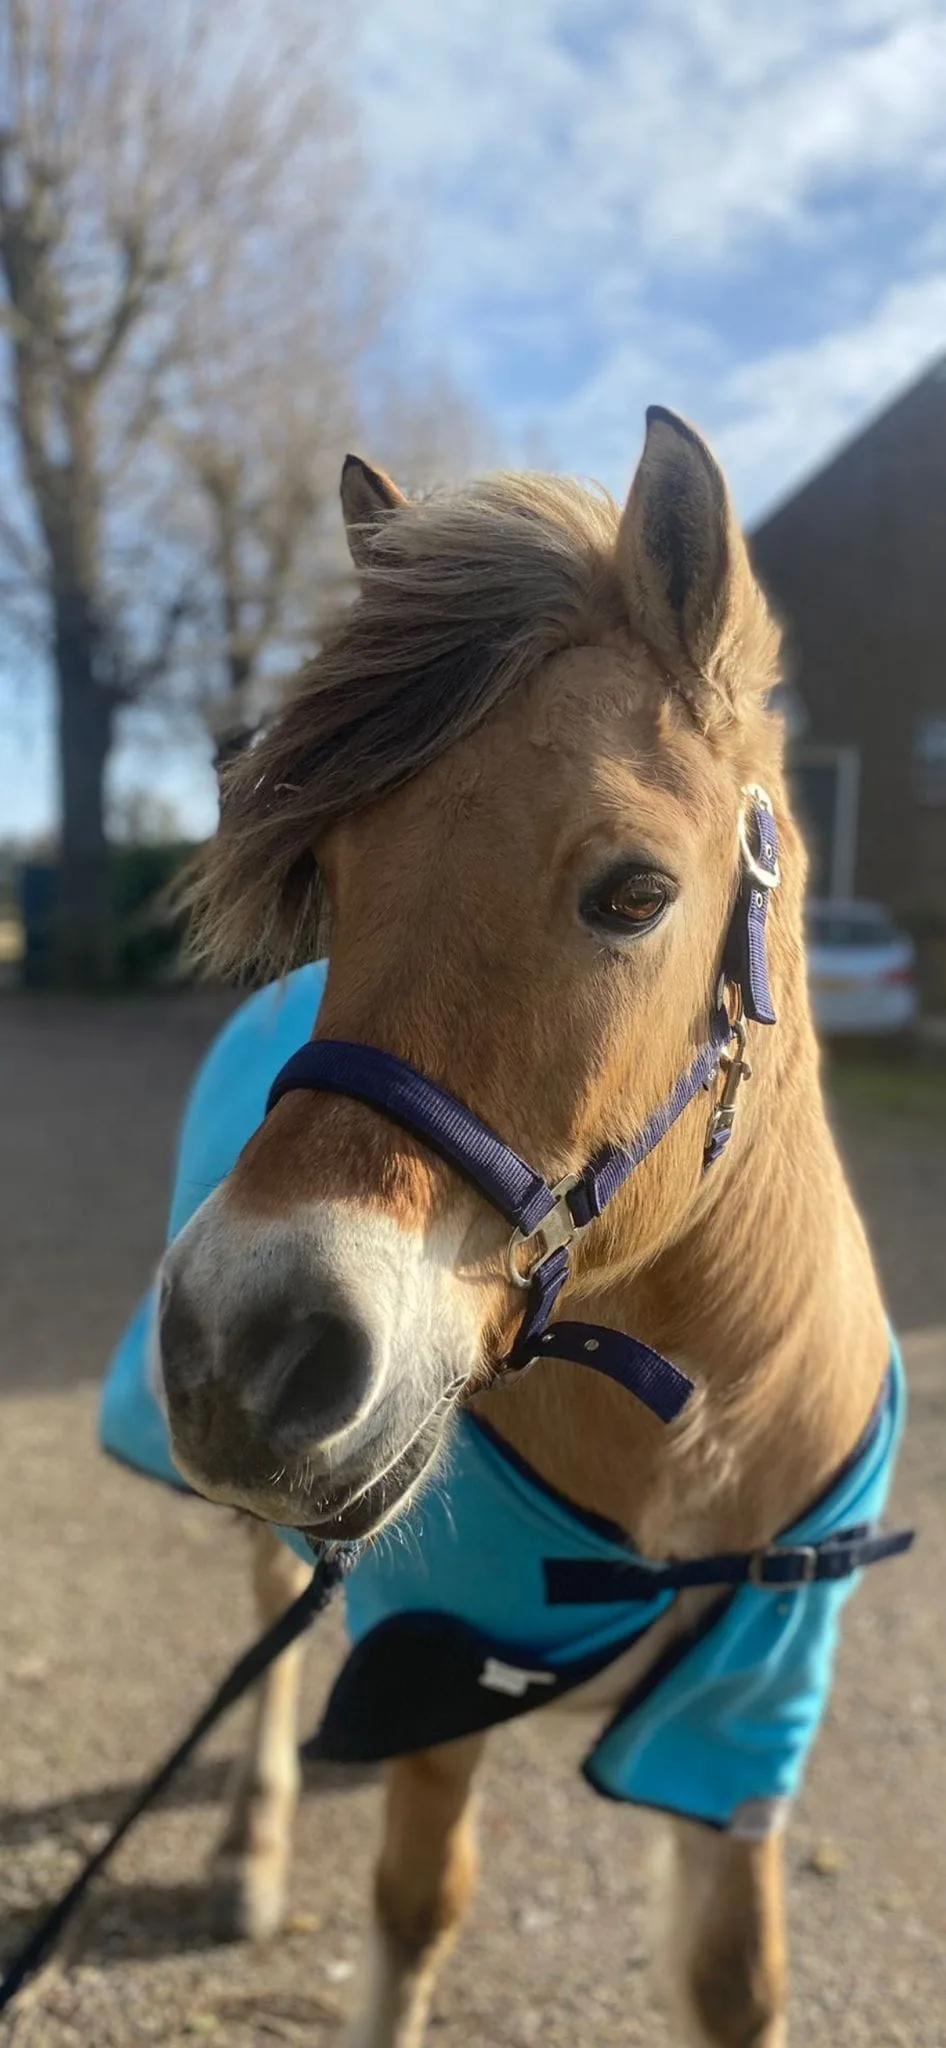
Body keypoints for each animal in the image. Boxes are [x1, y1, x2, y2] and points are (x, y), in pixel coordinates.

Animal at [143, 408, 909, 2048]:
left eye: (634, 891)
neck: (695, 1417)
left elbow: (734, 1984)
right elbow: (413, 1911)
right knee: (268, 1621)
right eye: (331, 879)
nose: (243, 1348)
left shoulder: (738, 1733)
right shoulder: (432, 1678)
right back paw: (248, 1848)